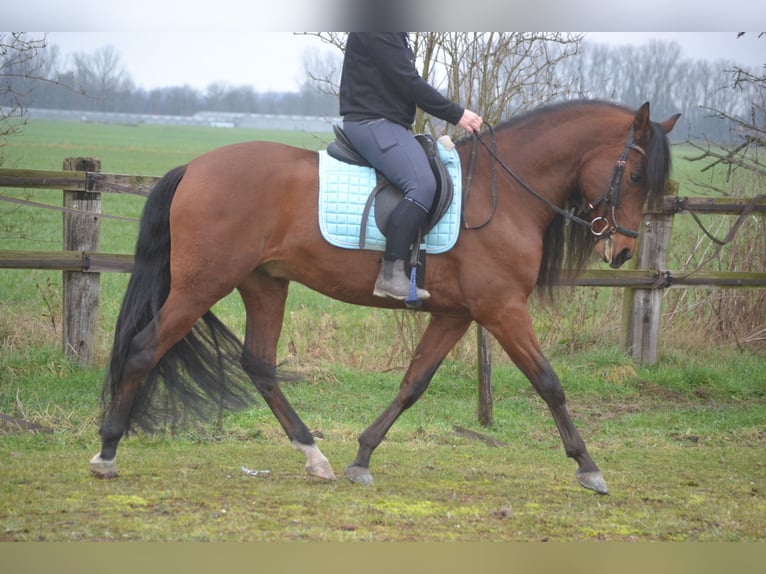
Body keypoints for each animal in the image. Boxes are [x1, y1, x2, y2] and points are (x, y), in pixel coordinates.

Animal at [90, 100, 680, 494]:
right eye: (632, 174)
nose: (623, 251)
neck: (505, 193)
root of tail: (194, 167)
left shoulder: (455, 315)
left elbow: (413, 384)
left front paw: (362, 458)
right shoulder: (502, 310)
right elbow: (549, 382)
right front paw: (588, 467)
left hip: (264, 283)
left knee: (258, 364)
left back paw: (315, 456)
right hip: (201, 284)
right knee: (144, 349)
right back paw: (107, 451)